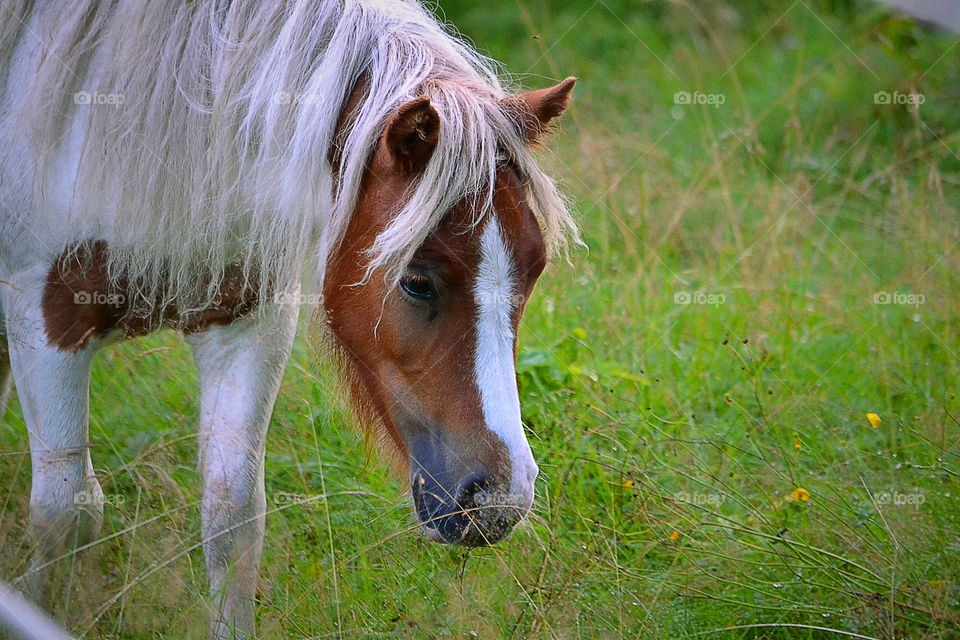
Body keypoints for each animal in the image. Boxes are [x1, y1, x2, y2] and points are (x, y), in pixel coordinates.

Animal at [0, 1, 577, 637]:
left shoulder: (244, 324)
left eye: (535, 268)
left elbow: (232, 517)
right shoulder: (46, 318)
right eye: (417, 280)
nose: (500, 500)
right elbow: (66, 511)